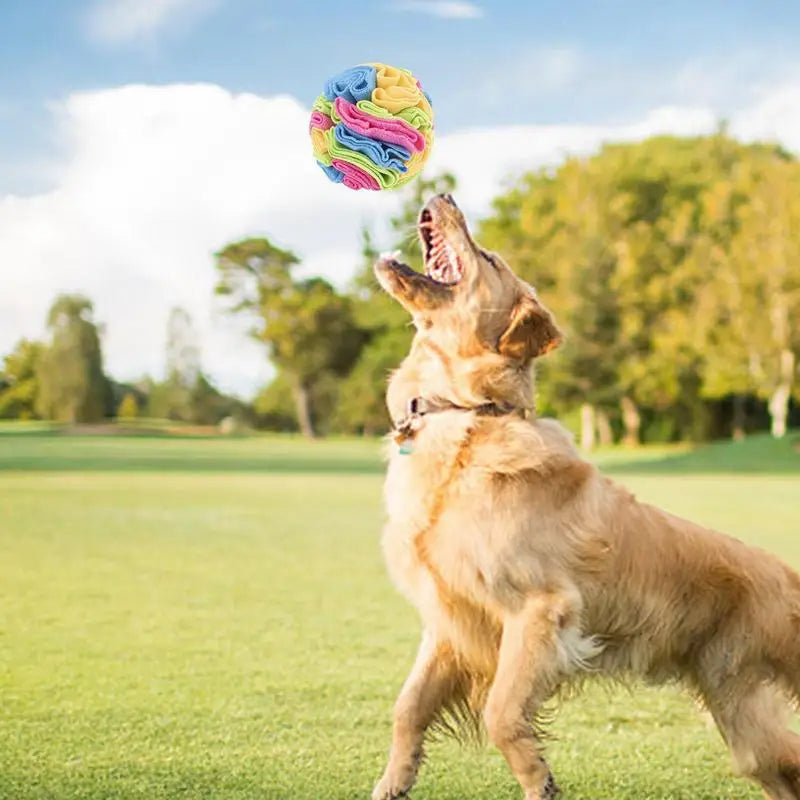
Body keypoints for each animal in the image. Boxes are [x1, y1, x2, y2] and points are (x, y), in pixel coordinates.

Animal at [372, 195, 800, 800]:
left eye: (489, 258)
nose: (445, 197)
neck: (467, 416)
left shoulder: (540, 610)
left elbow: (502, 714)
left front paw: (539, 779)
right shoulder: (449, 620)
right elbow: (407, 708)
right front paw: (393, 782)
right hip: (745, 721)